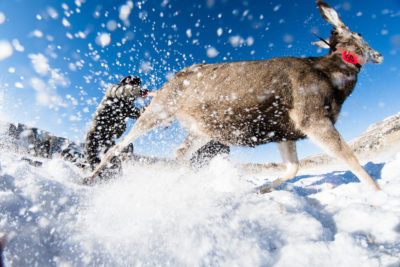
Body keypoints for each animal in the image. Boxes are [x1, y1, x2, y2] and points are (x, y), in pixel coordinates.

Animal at [86, 0, 382, 193]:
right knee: (116, 147)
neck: (332, 79)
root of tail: (168, 82)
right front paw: (378, 194)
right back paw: (89, 178)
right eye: (360, 33)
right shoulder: (311, 117)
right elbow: (351, 159)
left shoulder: (285, 131)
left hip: (201, 130)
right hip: (158, 109)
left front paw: (259, 190)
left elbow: (292, 168)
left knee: (179, 153)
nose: (379, 55)